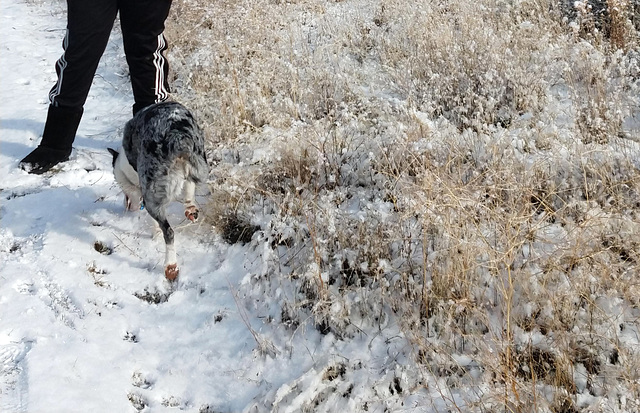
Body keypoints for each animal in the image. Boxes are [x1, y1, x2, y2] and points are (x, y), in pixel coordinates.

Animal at [109, 101, 208, 280]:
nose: (126, 205)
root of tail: (178, 137)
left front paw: (154, 235)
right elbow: (189, 188)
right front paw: (190, 206)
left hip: (152, 197)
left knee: (169, 232)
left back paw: (171, 266)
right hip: (199, 160)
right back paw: (191, 210)